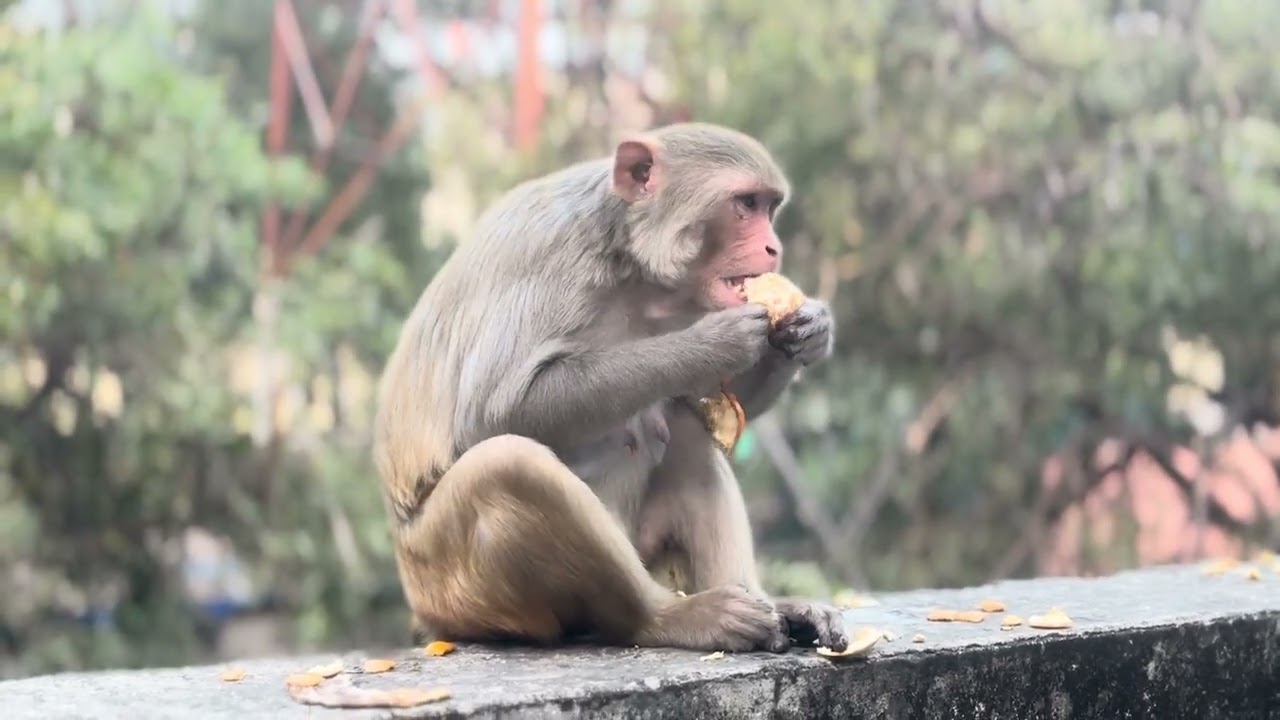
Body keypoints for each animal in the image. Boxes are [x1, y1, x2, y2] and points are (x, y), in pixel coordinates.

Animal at [372, 122, 848, 654]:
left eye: (770, 207)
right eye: (745, 204)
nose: (773, 249)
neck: (630, 261)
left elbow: (706, 406)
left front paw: (810, 329)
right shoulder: (549, 255)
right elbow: (496, 411)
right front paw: (714, 344)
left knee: (685, 435)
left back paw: (766, 604)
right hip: (455, 585)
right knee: (509, 465)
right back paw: (669, 618)